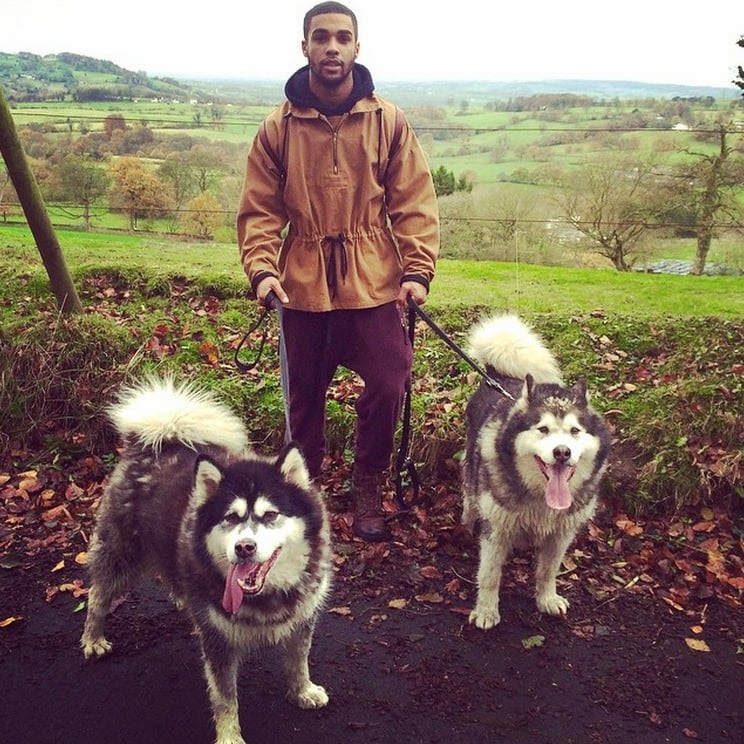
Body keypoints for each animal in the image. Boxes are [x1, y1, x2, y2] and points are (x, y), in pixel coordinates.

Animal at [80, 380, 332, 740]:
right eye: (230, 517)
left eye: (270, 515)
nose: (244, 548)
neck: (265, 597)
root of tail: (155, 444)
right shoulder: (218, 641)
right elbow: (225, 698)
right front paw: (230, 737)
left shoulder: (303, 617)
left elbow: (299, 660)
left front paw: (302, 691)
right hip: (121, 554)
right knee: (98, 593)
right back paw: (93, 638)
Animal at [464, 316, 612, 632]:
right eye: (542, 429)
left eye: (575, 431)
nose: (562, 453)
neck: (540, 499)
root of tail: (497, 375)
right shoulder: (496, 529)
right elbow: (490, 575)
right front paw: (486, 610)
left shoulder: (562, 533)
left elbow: (548, 570)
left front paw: (546, 599)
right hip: (472, 468)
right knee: (469, 494)